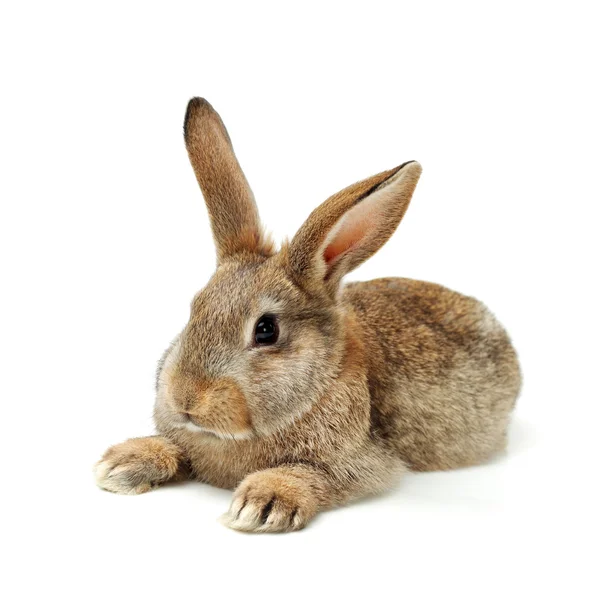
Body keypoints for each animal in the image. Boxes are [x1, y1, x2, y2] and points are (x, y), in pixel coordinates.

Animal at [92, 98, 520, 536]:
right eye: (194, 308)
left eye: (266, 330)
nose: (186, 400)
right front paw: (122, 464)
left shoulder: (360, 462)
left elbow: (315, 475)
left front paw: (262, 504)